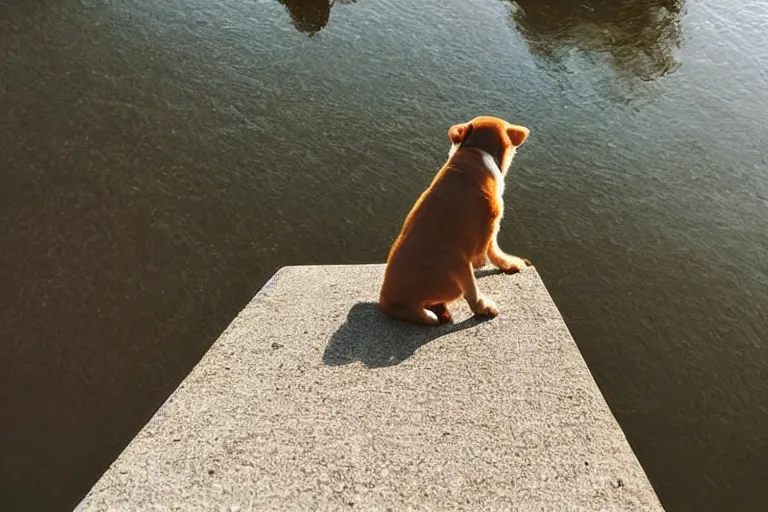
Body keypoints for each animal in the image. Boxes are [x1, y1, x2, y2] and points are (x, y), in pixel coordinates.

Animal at [376, 115, 528, 324]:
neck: (474, 151)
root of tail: (385, 303)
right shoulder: (491, 221)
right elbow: (488, 250)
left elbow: (495, 251)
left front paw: (509, 264)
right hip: (456, 260)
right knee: (469, 294)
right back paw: (482, 308)